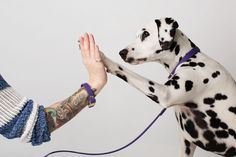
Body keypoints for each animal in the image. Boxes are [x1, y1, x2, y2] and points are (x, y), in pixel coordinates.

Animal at [101, 16, 236, 156]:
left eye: (146, 34)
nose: (121, 52)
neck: (187, 59)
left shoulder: (165, 94)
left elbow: (124, 70)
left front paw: (103, 58)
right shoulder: (187, 144)